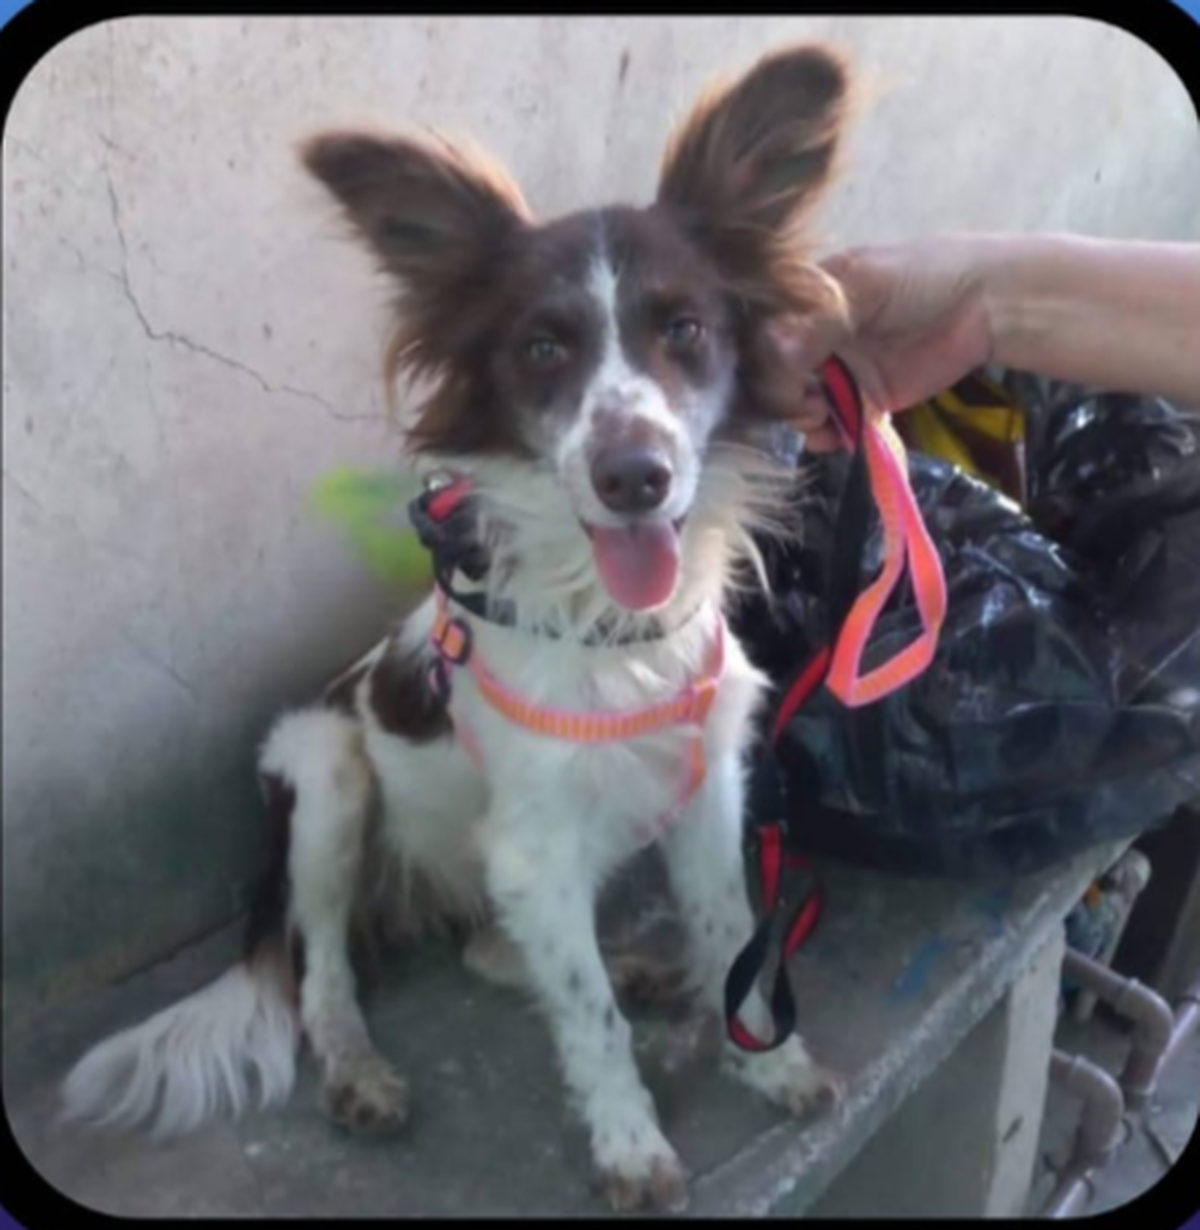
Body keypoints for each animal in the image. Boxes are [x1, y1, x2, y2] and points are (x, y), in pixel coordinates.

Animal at [61, 41, 852, 1213]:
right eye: (542, 348)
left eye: (686, 330)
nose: (634, 476)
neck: (613, 625)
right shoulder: (533, 846)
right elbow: (589, 1021)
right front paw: (629, 1144)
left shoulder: (707, 790)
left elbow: (727, 937)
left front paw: (768, 1060)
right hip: (322, 773)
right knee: (325, 976)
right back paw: (359, 1073)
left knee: (492, 949)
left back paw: (624, 965)